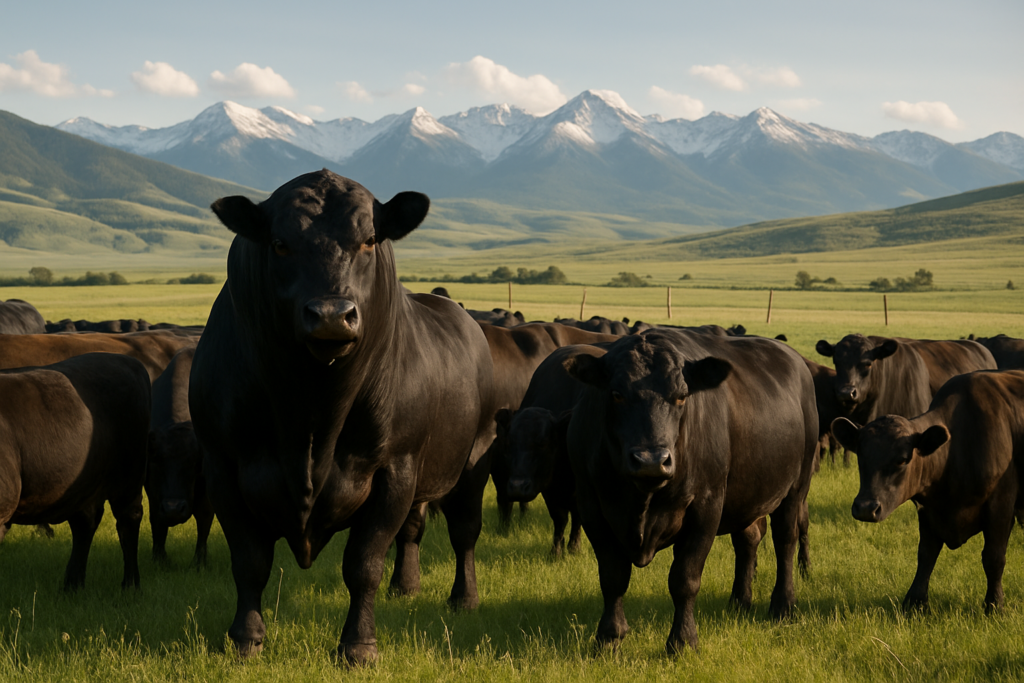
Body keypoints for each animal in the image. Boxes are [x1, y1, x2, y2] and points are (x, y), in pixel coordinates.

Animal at [0, 353, 151, 590]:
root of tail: (127, 360)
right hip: (83, 485)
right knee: (85, 522)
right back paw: (72, 584)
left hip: (129, 475)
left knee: (128, 519)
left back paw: (130, 585)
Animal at [147, 347, 213, 567]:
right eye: (157, 463)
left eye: (194, 464)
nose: (174, 509)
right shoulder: (153, 490)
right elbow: (157, 520)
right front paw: (159, 558)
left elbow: (204, 518)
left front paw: (200, 562)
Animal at [189, 170, 496, 665]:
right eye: (280, 243)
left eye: (369, 239)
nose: (332, 316)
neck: (312, 419)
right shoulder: (224, 468)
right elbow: (250, 561)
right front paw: (245, 638)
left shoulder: (394, 468)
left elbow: (363, 564)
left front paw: (359, 645)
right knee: (413, 530)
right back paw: (405, 587)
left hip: (473, 460)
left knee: (464, 531)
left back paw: (463, 598)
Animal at [564, 330, 818, 654]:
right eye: (617, 394)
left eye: (681, 396)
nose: (651, 460)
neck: (643, 501)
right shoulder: (592, 507)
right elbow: (612, 577)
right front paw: (609, 637)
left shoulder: (706, 507)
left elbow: (685, 579)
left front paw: (683, 640)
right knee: (748, 540)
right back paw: (739, 602)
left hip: (795, 488)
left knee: (785, 541)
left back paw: (783, 606)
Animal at [831, 369, 1024, 614]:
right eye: (861, 456)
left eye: (903, 459)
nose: (866, 508)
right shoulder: (928, 509)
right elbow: (926, 555)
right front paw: (915, 602)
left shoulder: (1001, 504)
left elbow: (993, 557)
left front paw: (994, 604)